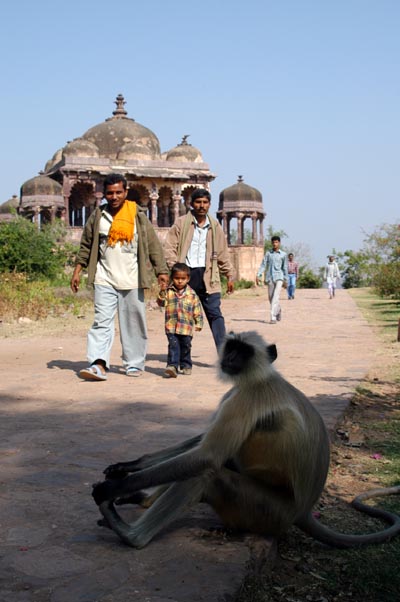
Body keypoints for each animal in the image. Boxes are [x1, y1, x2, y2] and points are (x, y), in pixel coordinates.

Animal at [91, 330, 400, 548]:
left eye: (243, 352)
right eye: (231, 348)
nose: (229, 360)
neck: (259, 378)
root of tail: (302, 510)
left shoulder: (247, 397)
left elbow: (208, 455)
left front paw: (110, 488)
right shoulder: (236, 393)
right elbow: (204, 444)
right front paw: (128, 466)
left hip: (266, 512)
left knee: (208, 472)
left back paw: (131, 535)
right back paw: (141, 502)